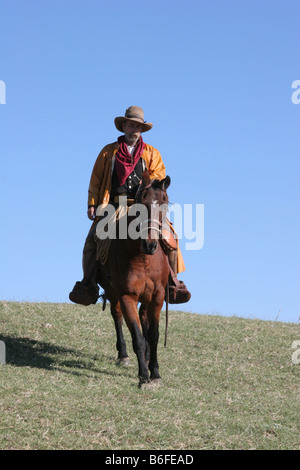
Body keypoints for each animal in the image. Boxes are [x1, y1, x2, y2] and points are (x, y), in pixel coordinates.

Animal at [96, 171, 171, 388]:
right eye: (141, 203)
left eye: (164, 202)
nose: (150, 245)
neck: (142, 258)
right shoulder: (127, 296)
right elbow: (137, 336)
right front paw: (144, 376)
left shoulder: (157, 296)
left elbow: (153, 335)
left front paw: (155, 373)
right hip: (114, 294)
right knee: (117, 316)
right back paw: (123, 355)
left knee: (144, 318)